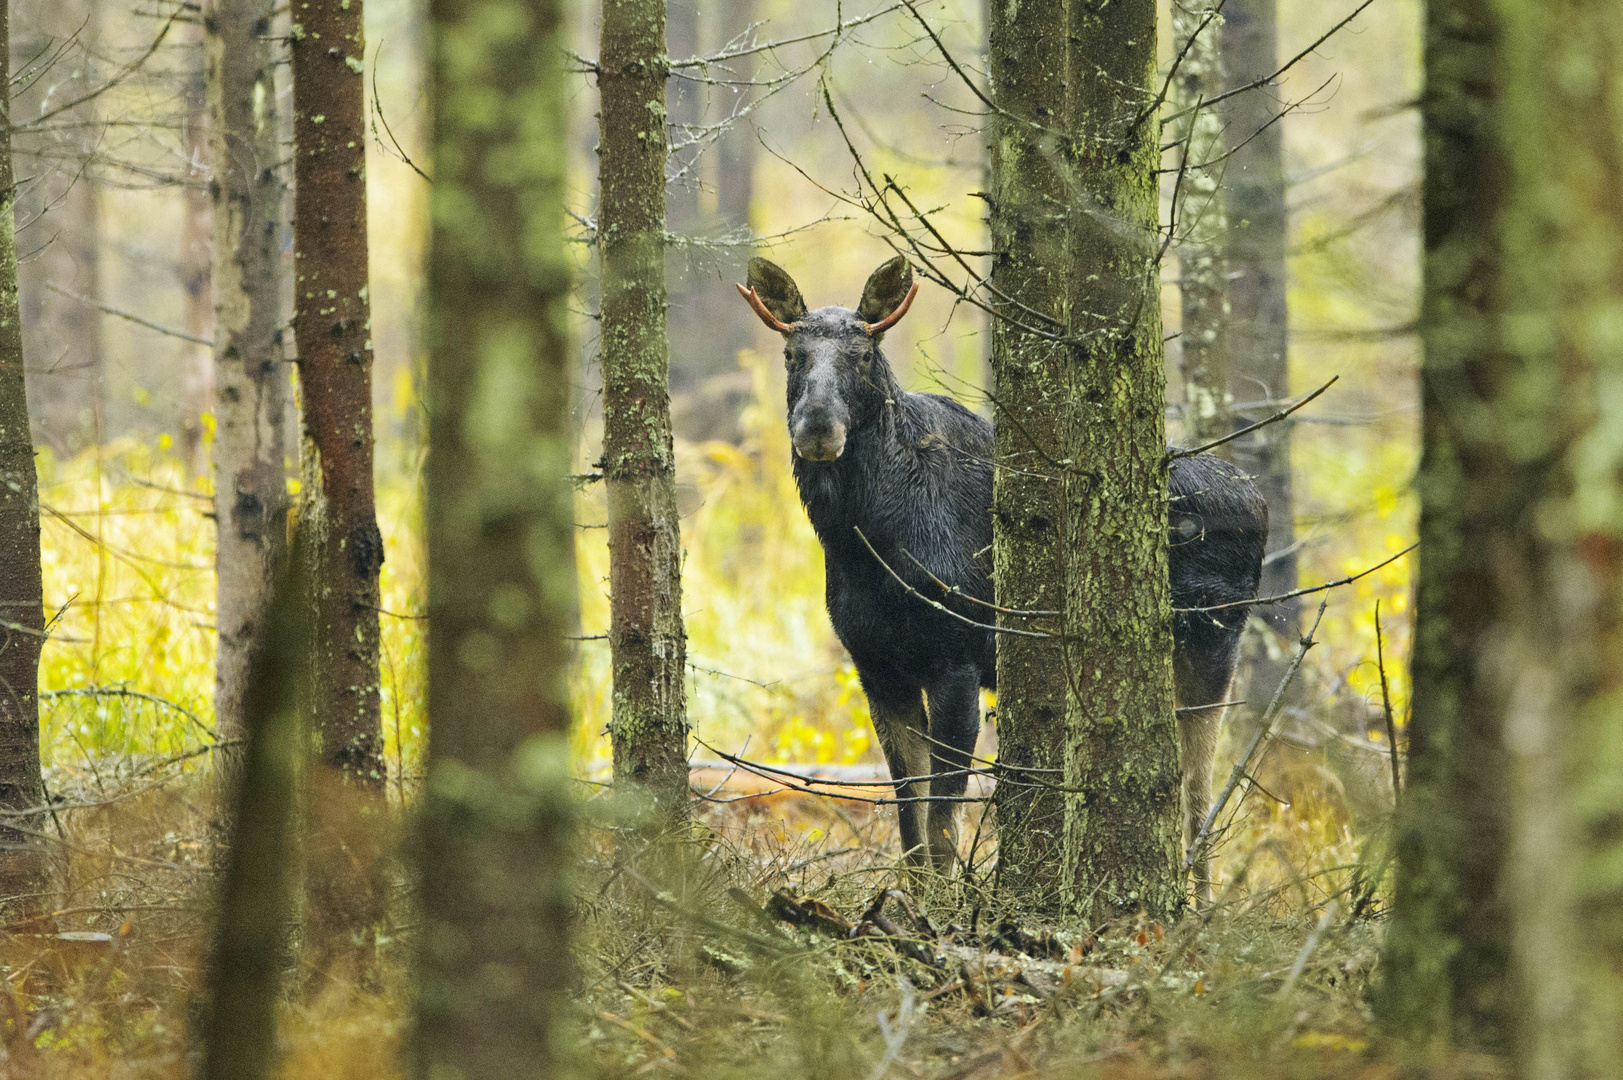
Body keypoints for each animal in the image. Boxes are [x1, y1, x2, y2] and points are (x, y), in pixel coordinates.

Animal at [736, 250, 1265, 889]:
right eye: (793, 354)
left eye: (863, 354)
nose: (816, 426)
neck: (865, 544)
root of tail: (1259, 501)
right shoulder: (877, 665)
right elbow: (910, 824)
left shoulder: (957, 657)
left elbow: (943, 822)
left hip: (1212, 640)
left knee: (1197, 791)